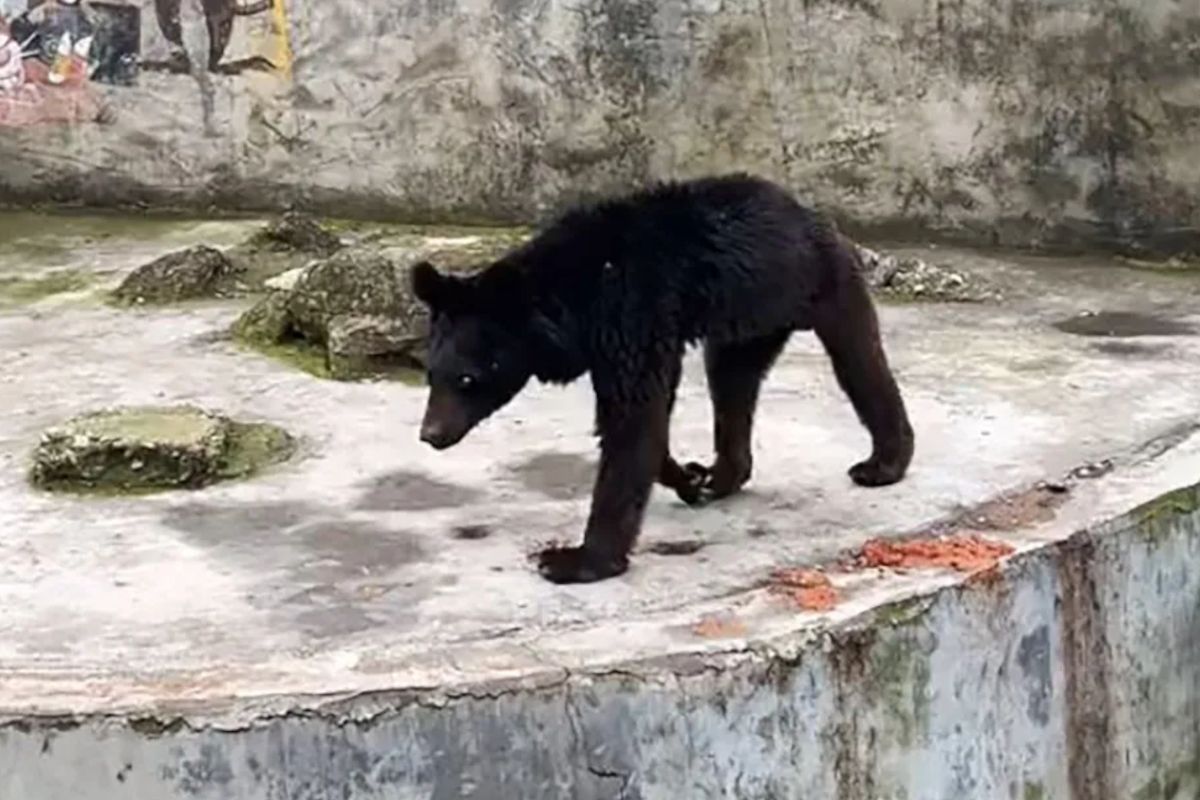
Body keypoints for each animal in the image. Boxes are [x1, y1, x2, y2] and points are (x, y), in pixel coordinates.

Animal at [408, 172, 912, 585]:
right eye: (432, 374)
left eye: (467, 379)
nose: (430, 434)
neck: (571, 303)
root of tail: (809, 213)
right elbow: (640, 422)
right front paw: (686, 476)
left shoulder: (631, 314)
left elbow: (631, 424)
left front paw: (573, 559)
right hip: (744, 322)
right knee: (732, 382)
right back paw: (721, 475)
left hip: (817, 284)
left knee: (858, 360)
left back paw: (882, 462)